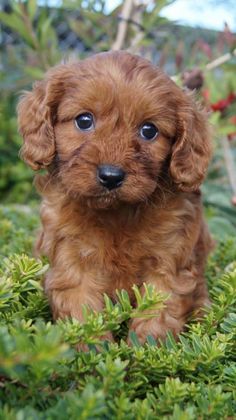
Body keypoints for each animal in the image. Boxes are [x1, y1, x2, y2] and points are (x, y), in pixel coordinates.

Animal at [18, 50, 212, 342]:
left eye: (149, 130)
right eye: (84, 121)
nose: (111, 176)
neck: (116, 213)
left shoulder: (169, 260)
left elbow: (157, 311)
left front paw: (148, 350)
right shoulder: (71, 257)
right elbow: (81, 311)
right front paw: (90, 347)